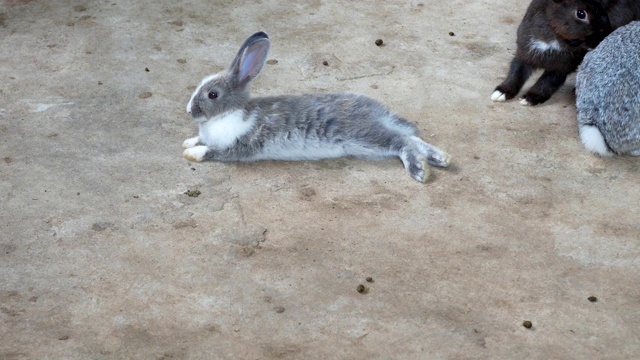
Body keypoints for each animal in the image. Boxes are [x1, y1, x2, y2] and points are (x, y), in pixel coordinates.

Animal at [181, 31, 450, 183]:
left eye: (212, 94)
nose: (189, 111)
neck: (229, 114)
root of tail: (378, 112)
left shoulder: (239, 147)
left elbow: (213, 151)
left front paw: (192, 154)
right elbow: (201, 139)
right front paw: (188, 142)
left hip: (365, 138)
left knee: (402, 142)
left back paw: (419, 171)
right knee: (411, 138)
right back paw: (441, 158)